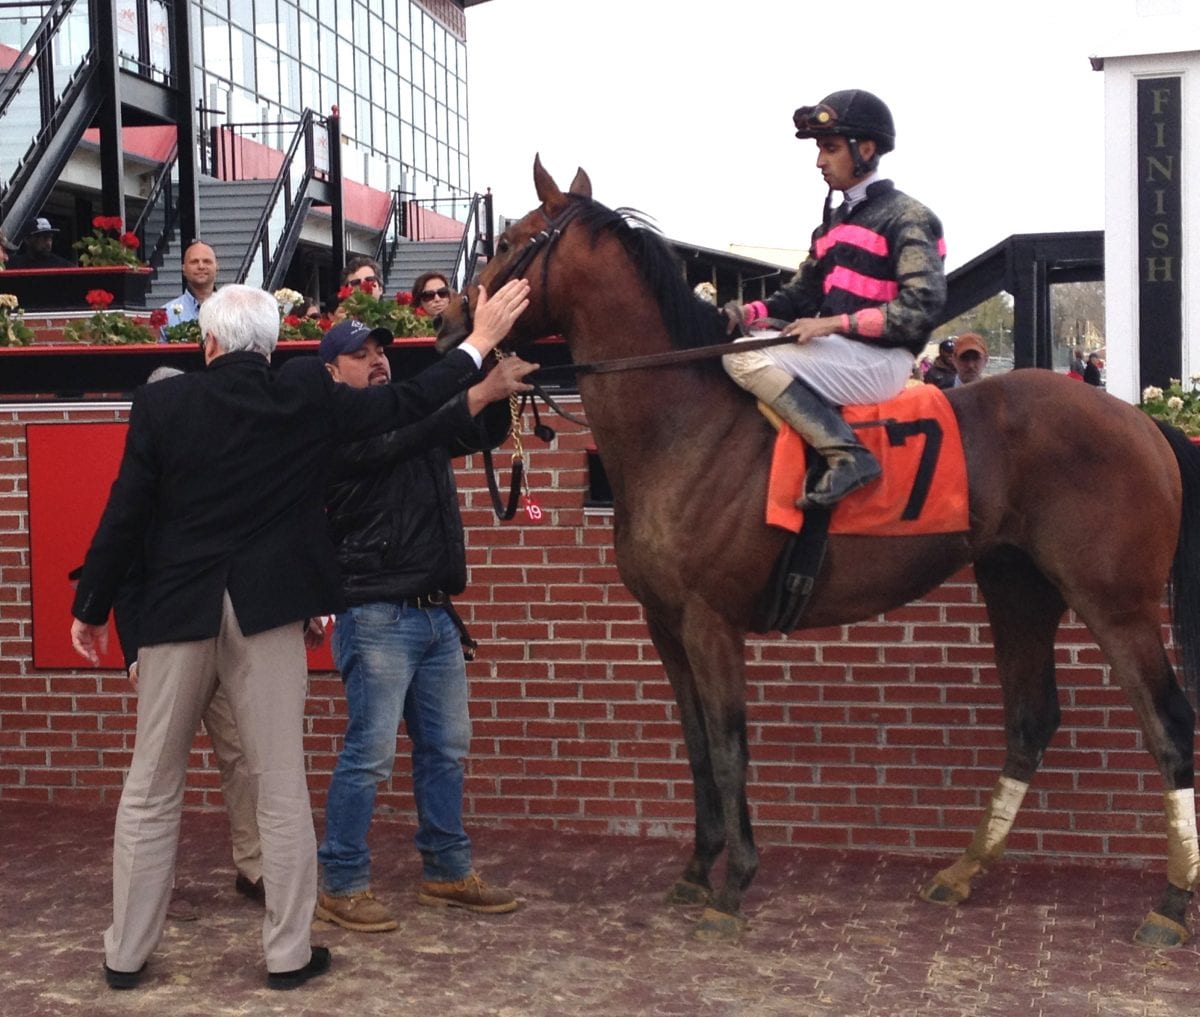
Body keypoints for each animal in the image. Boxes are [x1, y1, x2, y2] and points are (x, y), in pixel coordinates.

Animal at [436, 157, 1200, 945]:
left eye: (511, 241)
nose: (447, 319)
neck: (683, 424)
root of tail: (1141, 420)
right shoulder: (665, 625)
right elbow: (697, 747)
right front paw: (696, 869)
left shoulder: (711, 621)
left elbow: (729, 745)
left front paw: (733, 884)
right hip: (1018, 584)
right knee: (1031, 718)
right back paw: (961, 871)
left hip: (1115, 601)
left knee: (1169, 723)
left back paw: (1171, 903)